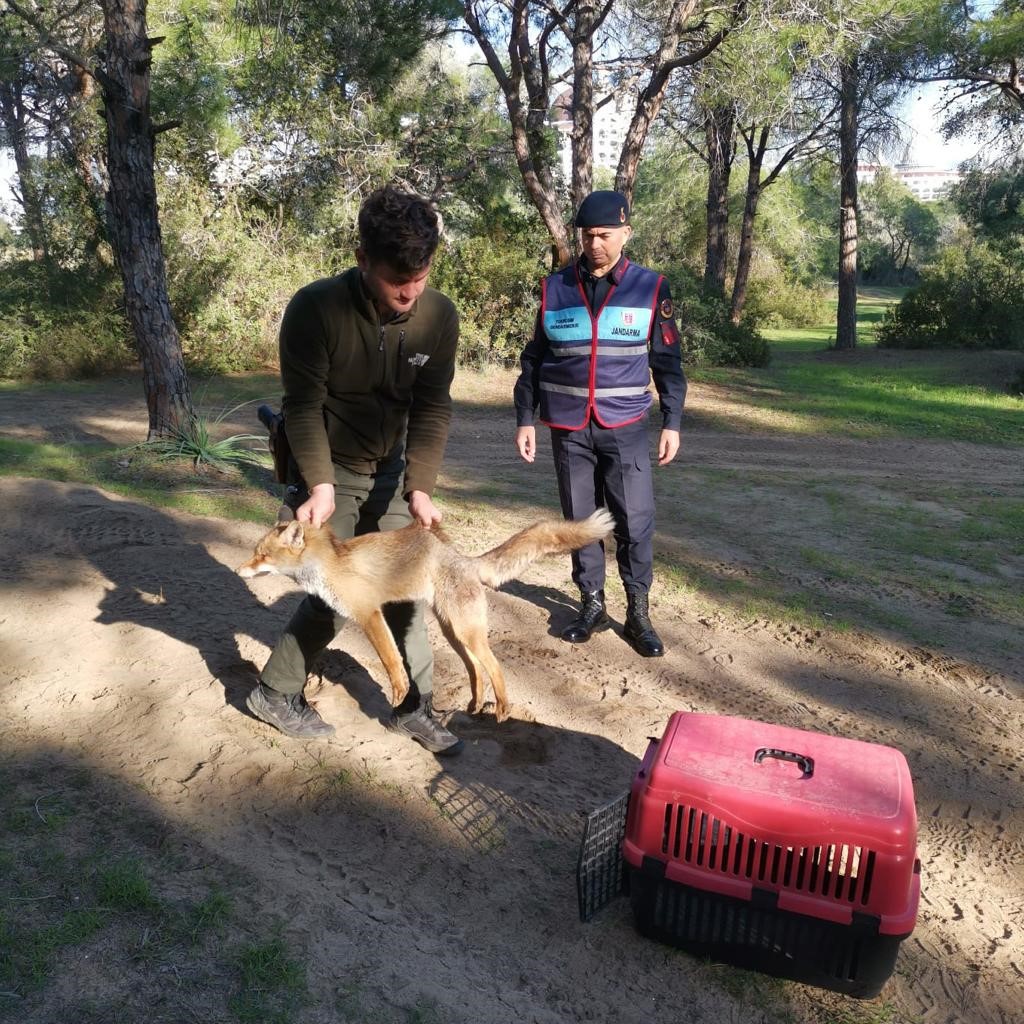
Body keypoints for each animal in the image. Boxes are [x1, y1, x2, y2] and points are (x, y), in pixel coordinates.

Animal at [235, 509, 610, 720]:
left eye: (262, 555)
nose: (239, 569)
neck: (330, 566)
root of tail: (463, 558)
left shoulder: (369, 614)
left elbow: (391, 661)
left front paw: (400, 693)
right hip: (453, 633)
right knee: (476, 670)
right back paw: (475, 707)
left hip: (466, 631)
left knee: (494, 667)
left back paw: (503, 710)